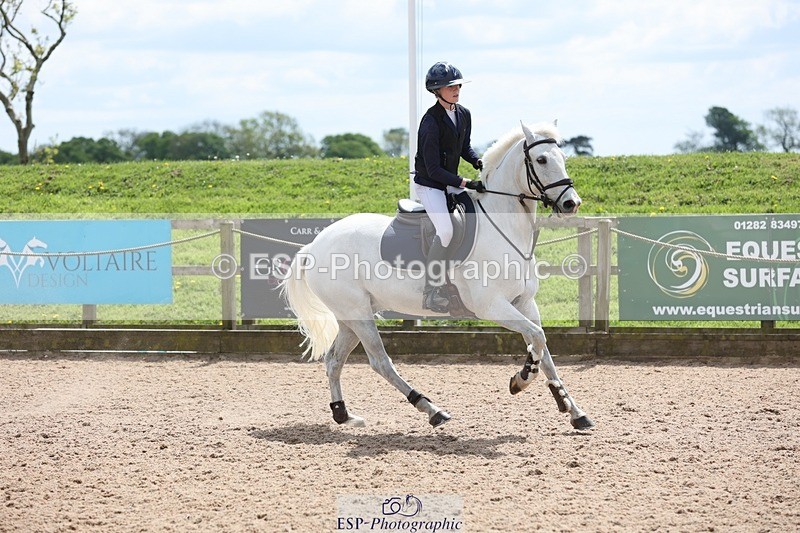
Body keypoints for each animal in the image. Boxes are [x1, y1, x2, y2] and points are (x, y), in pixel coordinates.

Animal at [281, 122, 595, 431]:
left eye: (563, 158)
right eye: (541, 160)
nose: (572, 203)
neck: (502, 226)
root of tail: (314, 245)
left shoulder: (525, 303)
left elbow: (544, 349)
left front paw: (573, 409)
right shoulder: (492, 306)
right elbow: (536, 338)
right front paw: (522, 378)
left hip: (351, 316)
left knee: (334, 361)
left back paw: (343, 414)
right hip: (357, 314)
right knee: (380, 361)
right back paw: (432, 409)